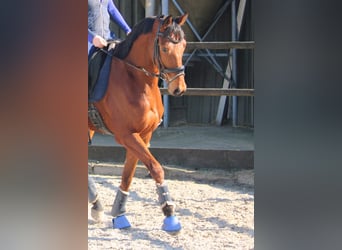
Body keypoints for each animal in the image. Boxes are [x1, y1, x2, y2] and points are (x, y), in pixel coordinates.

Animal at [87, 13, 188, 232]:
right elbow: (156, 168)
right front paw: (170, 215)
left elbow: (128, 175)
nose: (179, 88)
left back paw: (96, 204)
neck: (135, 79)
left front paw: (119, 214)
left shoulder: (143, 135)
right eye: (165, 48)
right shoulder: (126, 135)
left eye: (184, 45)